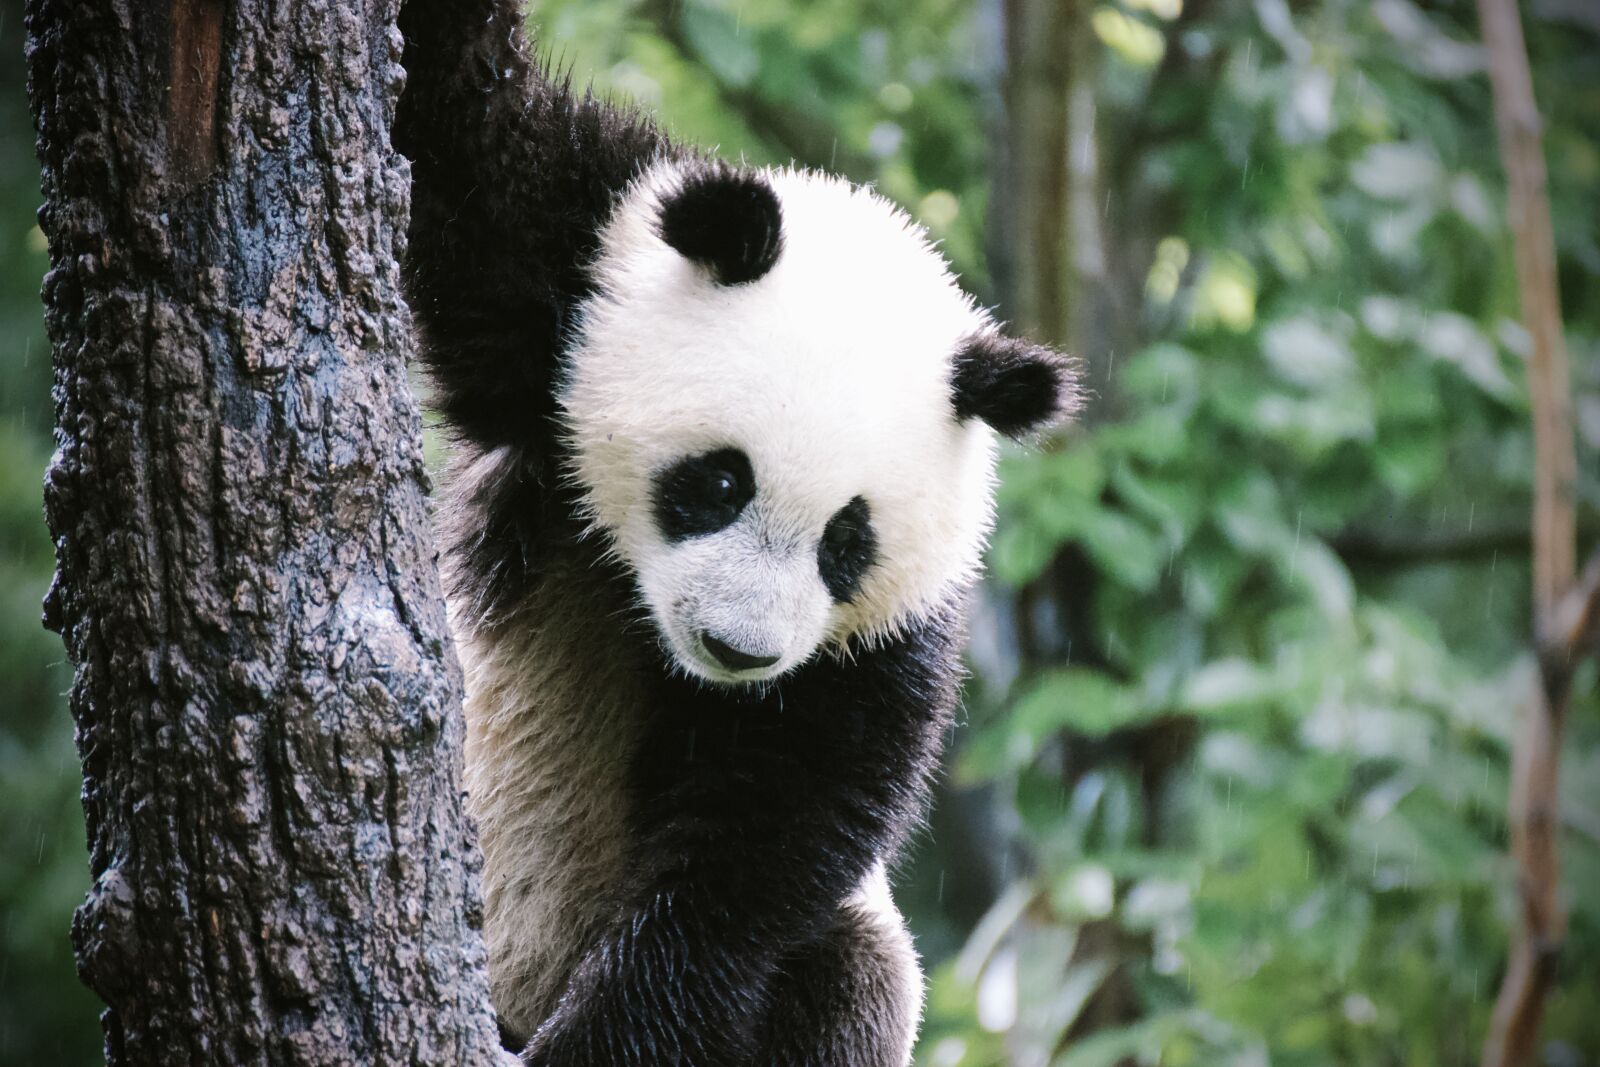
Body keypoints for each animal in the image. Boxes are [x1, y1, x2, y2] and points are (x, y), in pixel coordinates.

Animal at [394, 1, 1079, 1064]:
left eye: (848, 543)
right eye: (718, 481)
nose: (738, 649)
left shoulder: (878, 645)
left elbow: (765, 835)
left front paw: (603, 1038)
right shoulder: (569, 273)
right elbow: (460, 131)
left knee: (849, 971)